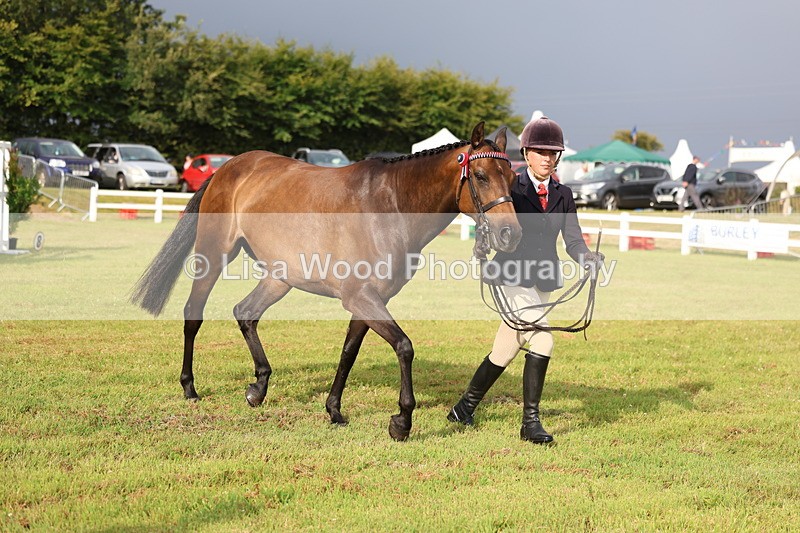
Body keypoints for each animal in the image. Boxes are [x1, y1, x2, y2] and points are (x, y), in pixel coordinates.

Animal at [131, 122, 521, 440]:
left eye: (513, 177)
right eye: (481, 175)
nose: (510, 235)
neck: (389, 206)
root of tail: (229, 167)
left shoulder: (369, 300)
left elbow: (349, 352)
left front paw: (334, 409)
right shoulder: (361, 297)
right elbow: (404, 347)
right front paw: (401, 421)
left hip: (279, 277)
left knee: (245, 312)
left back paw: (259, 387)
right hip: (214, 255)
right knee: (193, 313)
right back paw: (190, 388)